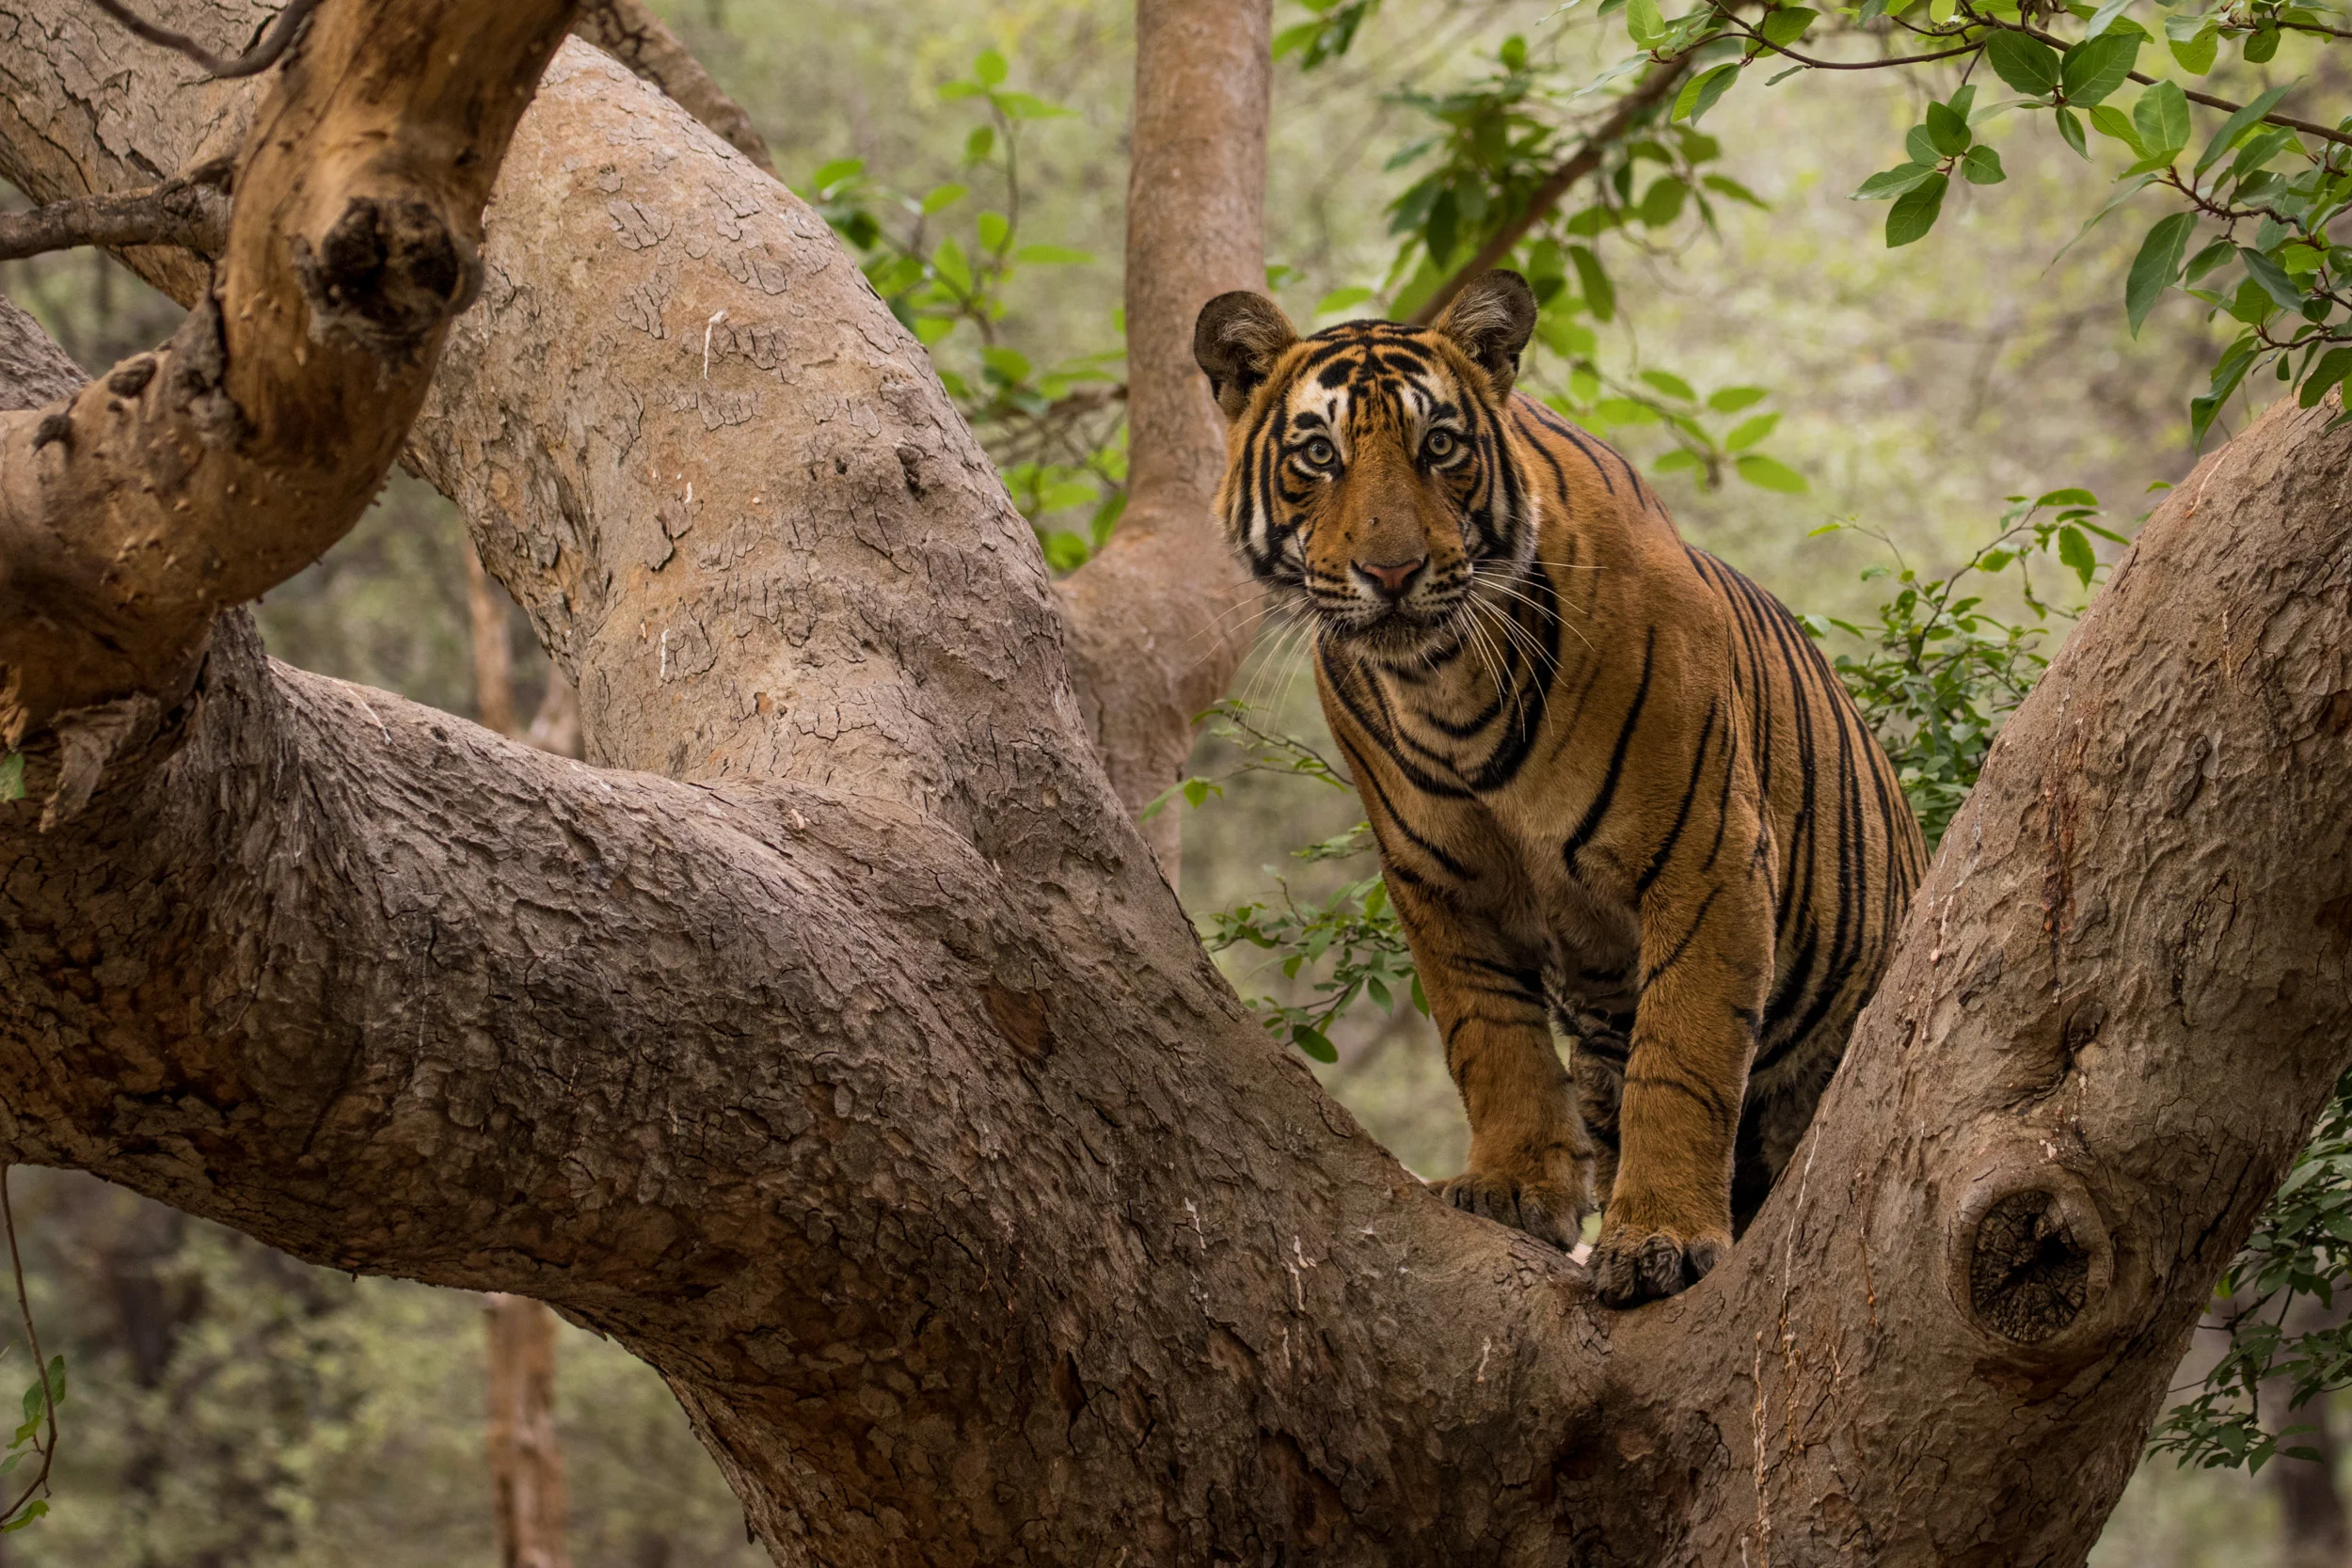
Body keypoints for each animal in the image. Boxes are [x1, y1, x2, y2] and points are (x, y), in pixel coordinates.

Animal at [1192, 270, 1926, 1306]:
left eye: (1440, 445)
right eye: (1318, 455)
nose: (1392, 572)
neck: (1444, 682)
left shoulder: (1706, 859)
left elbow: (1684, 1057)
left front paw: (1660, 1237)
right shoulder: (1438, 882)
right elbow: (1489, 1037)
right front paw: (1512, 1184)